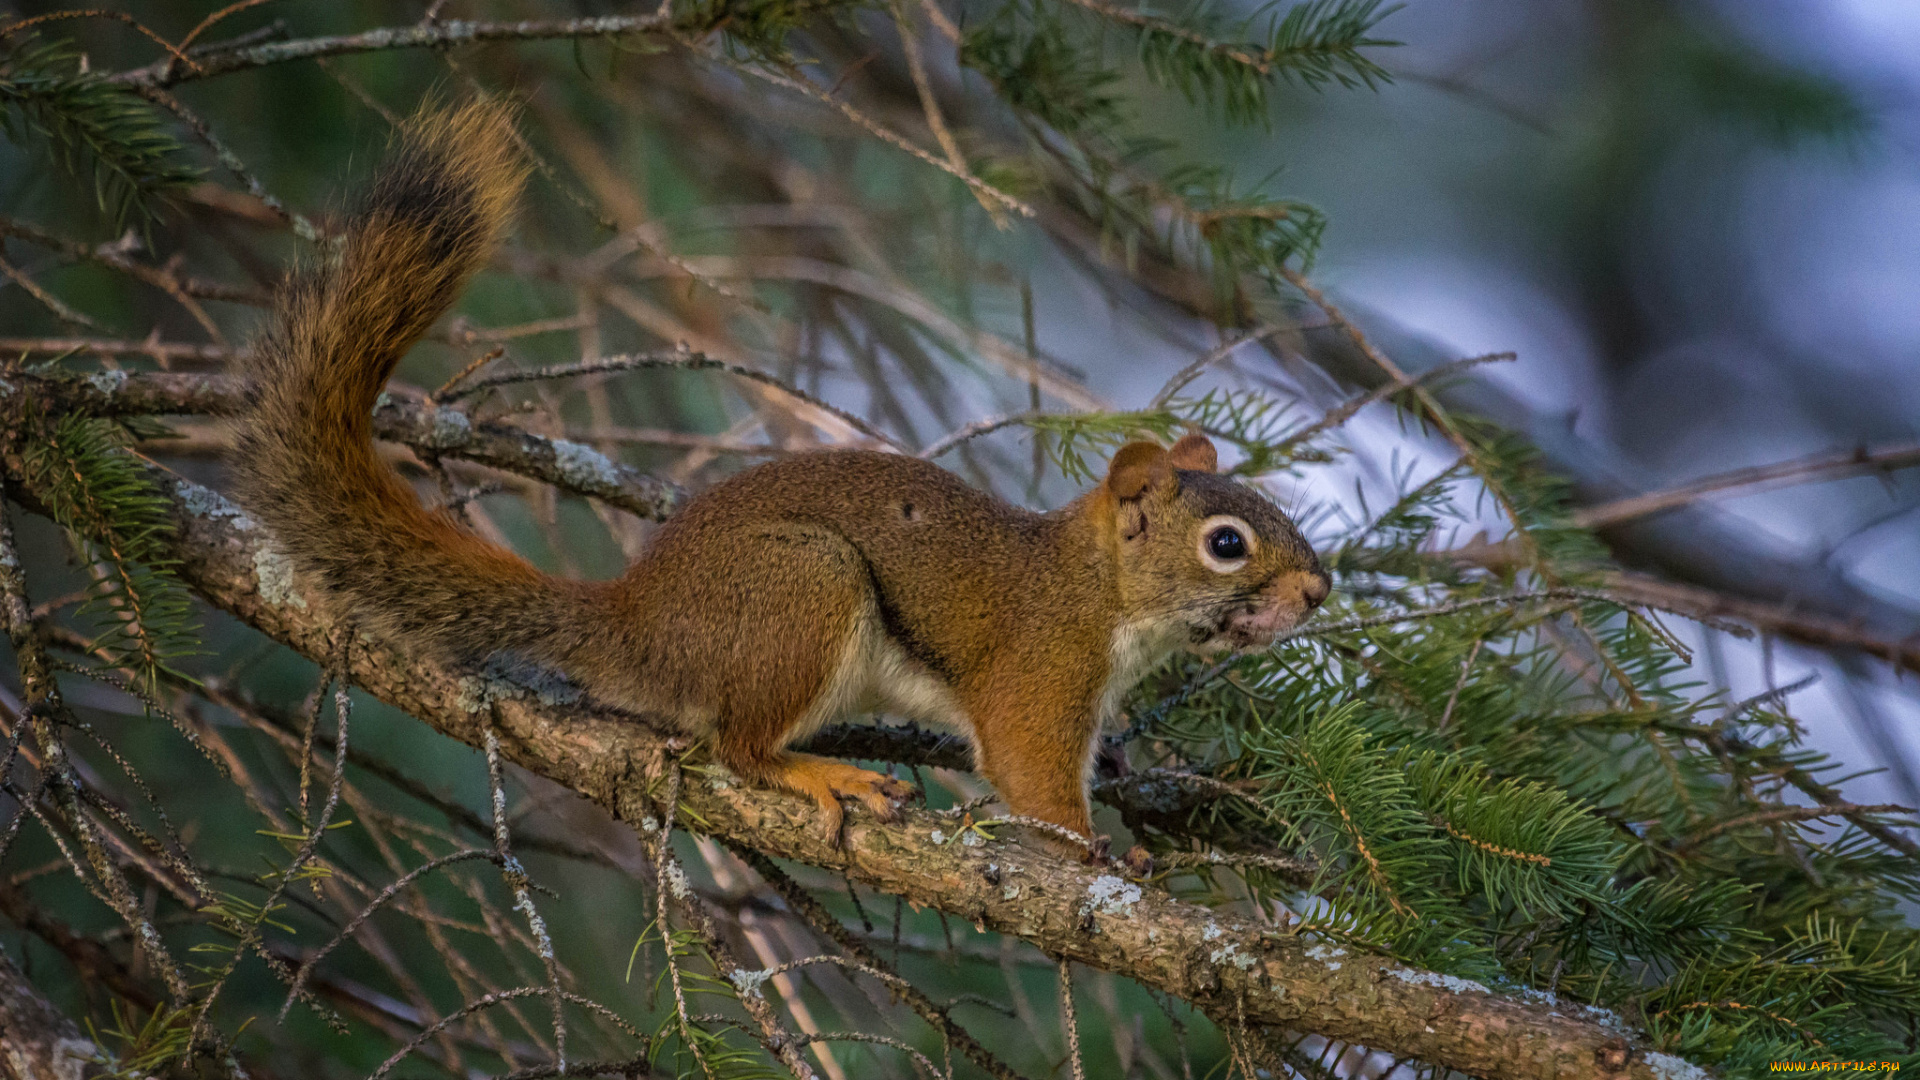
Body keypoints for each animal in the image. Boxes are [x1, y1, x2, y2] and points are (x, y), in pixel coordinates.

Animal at [232, 102, 1328, 849]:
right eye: (1227, 544)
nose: (1320, 590)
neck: (1102, 590)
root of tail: (634, 621)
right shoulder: (1041, 674)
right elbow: (1036, 784)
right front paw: (1099, 856)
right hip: (801, 588)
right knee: (740, 748)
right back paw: (824, 776)